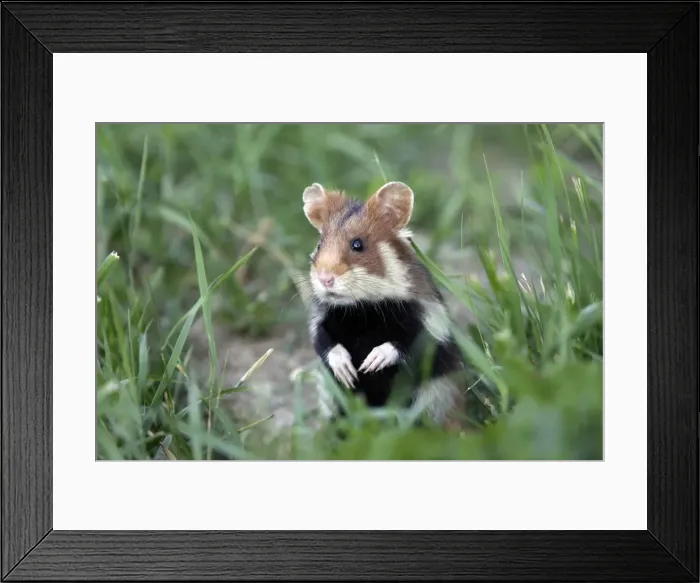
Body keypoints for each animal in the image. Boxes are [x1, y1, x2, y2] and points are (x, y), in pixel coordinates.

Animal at [300, 180, 473, 430]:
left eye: (358, 244)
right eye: (320, 244)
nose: (325, 279)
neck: (362, 308)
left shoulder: (429, 321)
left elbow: (405, 342)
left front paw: (370, 364)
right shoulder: (321, 320)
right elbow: (325, 342)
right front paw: (348, 372)